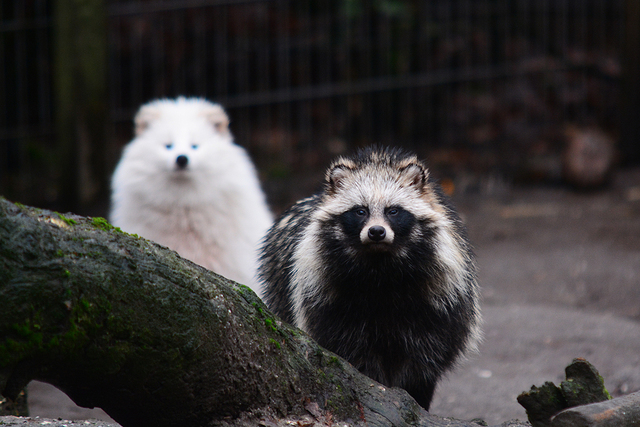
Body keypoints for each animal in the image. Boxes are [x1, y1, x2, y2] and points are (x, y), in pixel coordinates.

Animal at [255, 146, 480, 412]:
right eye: (360, 211)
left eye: (393, 211)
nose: (376, 232)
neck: (380, 267)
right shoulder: (327, 302)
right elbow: (352, 357)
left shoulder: (438, 305)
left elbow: (422, 364)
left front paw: (416, 398)